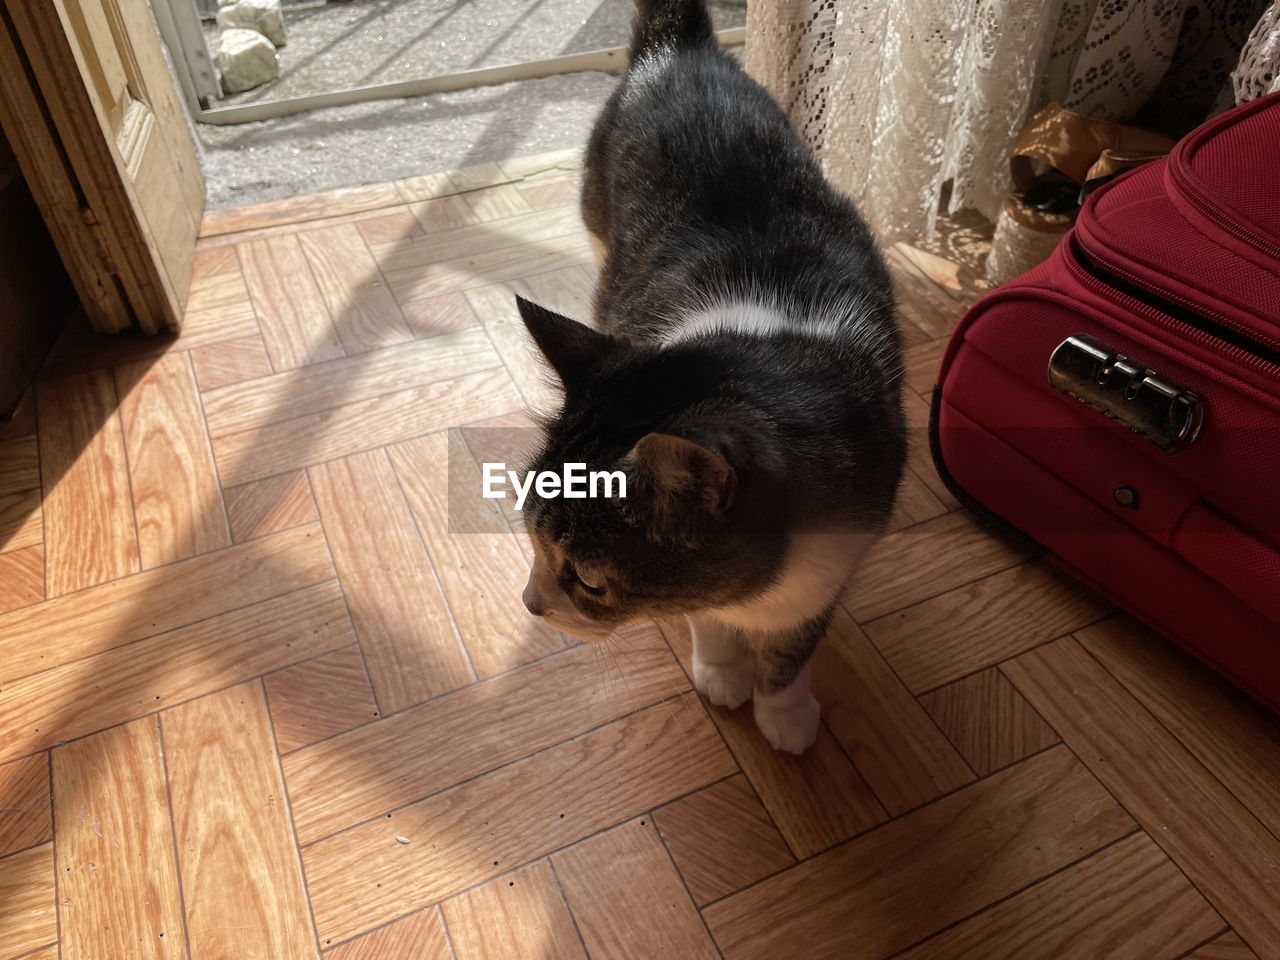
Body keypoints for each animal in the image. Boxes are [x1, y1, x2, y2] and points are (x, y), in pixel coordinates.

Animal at [514, 0, 906, 757]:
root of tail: (679, 47)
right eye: (531, 543)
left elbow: (794, 646)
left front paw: (784, 711)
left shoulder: (838, 558)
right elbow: (709, 618)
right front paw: (723, 672)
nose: (530, 603)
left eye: (589, 581)